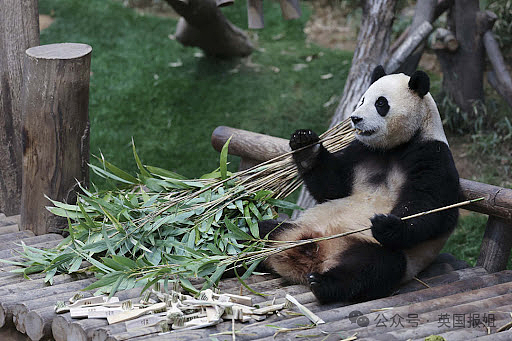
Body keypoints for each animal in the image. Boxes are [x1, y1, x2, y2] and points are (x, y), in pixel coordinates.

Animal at [260, 65, 460, 302]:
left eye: (381, 103)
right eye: (362, 100)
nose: (355, 118)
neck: (393, 148)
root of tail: (316, 256)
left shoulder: (432, 156)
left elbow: (433, 208)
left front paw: (387, 224)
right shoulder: (360, 152)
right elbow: (332, 187)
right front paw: (305, 143)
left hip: (371, 248)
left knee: (373, 267)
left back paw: (324, 284)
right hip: (295, 228)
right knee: (260, 231)